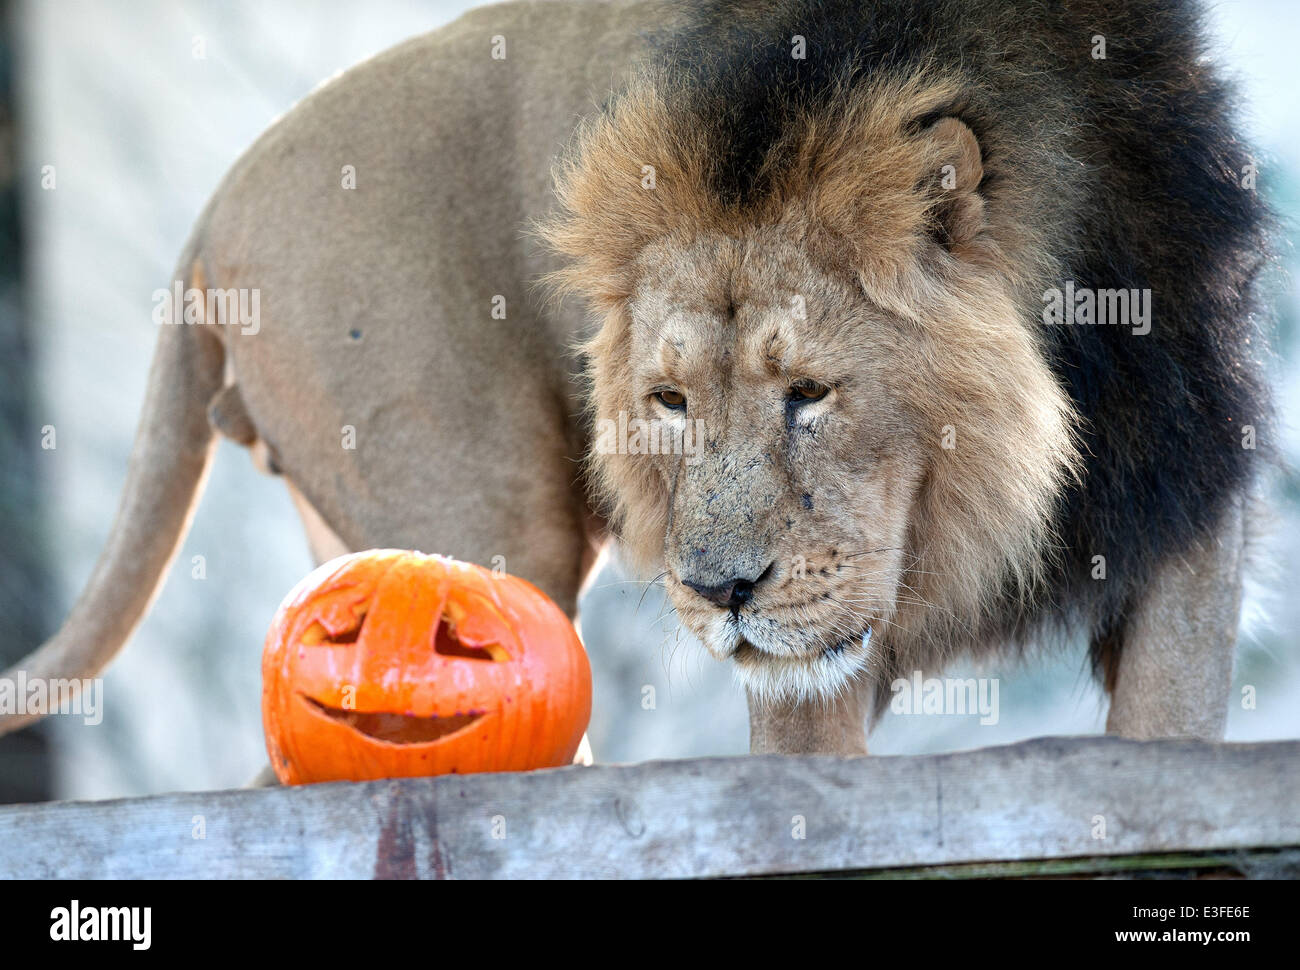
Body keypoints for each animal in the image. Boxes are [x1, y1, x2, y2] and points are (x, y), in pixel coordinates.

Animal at [0, 0, 1274, 754]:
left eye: (810, 392)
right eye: (668, 405)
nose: (720, 590)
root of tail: (207, 218)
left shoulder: (1192, 478)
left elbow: (1166, 728)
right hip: (478, 522)